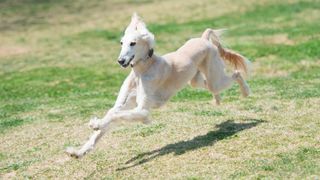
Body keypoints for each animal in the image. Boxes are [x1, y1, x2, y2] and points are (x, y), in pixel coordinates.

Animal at [65, 13, 250, 158]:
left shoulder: (143, 111)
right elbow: (109, 117)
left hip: (214, 78)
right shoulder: (125, 104)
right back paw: (217, 100)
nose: (121, 61)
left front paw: (96, 123)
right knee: (212, 87)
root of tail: (203, 39)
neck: (142, 70)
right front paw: (78, 152)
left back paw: (246, 92)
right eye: (121, 43)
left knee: (236, 74)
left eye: (133, 43)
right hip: (196, 80)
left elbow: (115, 116)